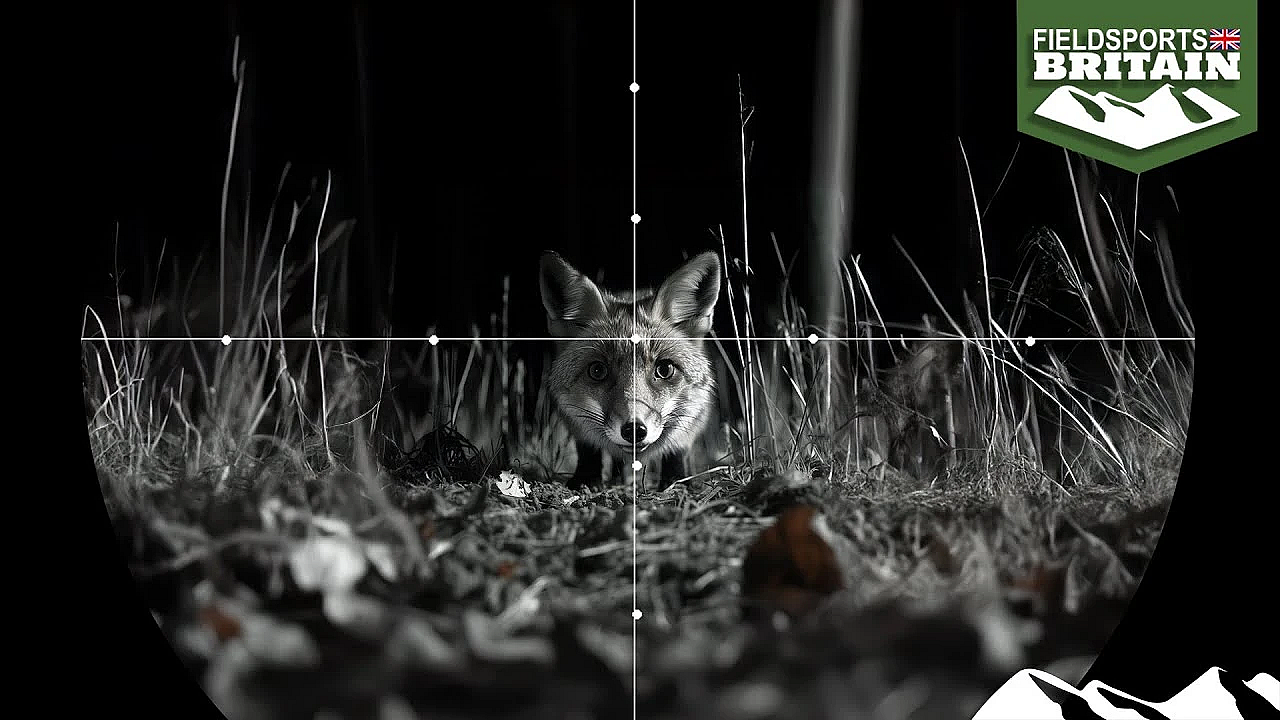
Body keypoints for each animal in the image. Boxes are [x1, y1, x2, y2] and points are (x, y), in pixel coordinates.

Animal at [538, 250, 722, 487]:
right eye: (597, 371)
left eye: (664, 369)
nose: (634, 430)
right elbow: (589, 449)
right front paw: (585, 480)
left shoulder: (693, 415)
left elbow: (677, 450)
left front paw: (677, 482)